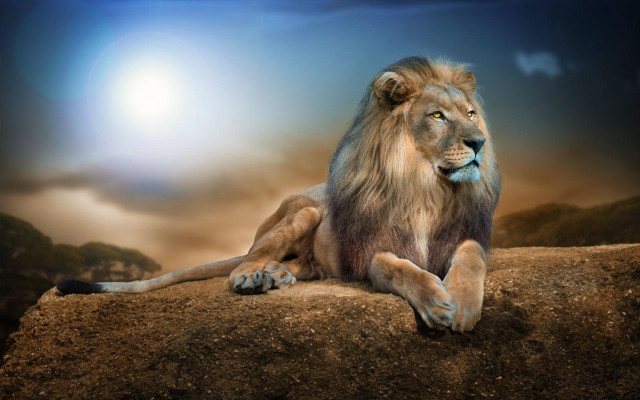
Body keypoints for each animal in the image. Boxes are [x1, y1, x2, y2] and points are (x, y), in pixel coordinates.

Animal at [58, 56, 501, 332]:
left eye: (471, 114)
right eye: (438, 115)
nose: (479, 142)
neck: (426, 187)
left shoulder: (466, 235)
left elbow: (471, 257)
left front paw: (461, 303)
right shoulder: (371, 252)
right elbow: (400, 269)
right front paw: (436, 301)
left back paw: (278, 275)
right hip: (303, 213)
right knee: (245, 261)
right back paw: (254, 277)